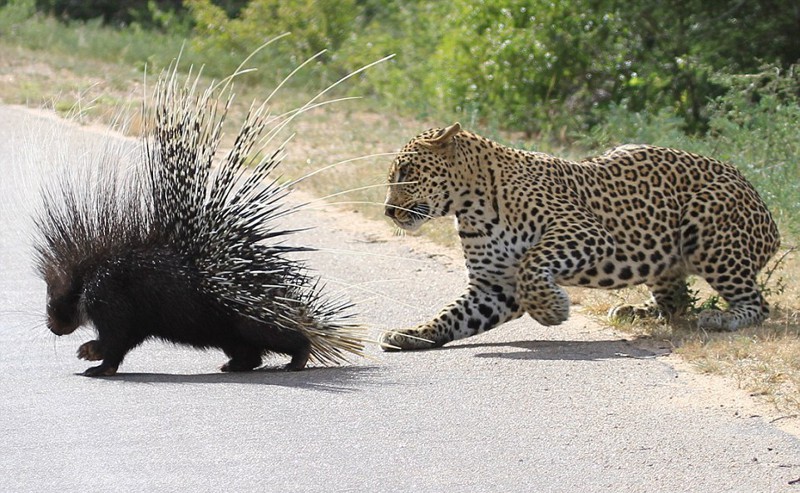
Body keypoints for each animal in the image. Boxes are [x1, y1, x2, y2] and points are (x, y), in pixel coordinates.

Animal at [382, 122, 780, 350]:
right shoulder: (493, 285)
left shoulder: (584, 231)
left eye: (407, 172)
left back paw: (723, 318)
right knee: (677, 300)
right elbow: (452, 315)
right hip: (660, 256)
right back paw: (636, 311)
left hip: (708, 223)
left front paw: (552, 310)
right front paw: (411, 333)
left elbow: (532, 262)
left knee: (757, 304)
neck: (470, 205)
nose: (386, 210)